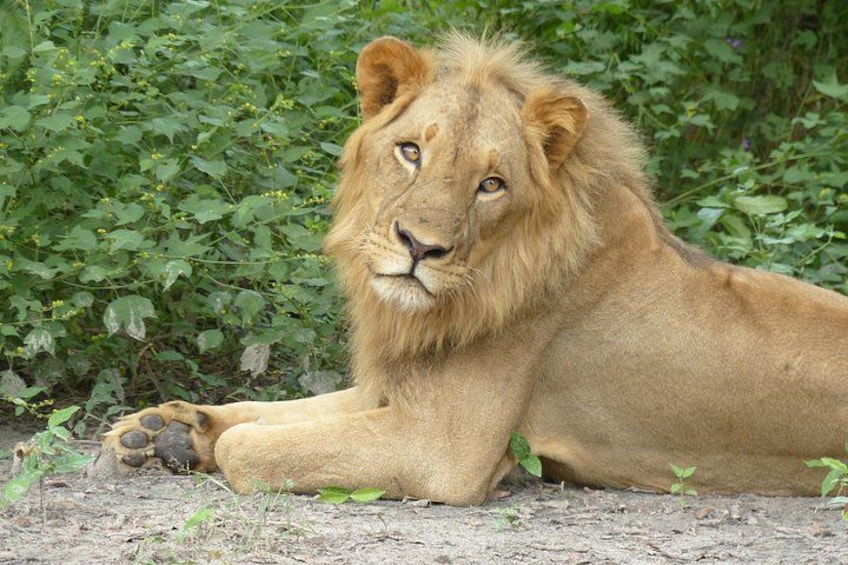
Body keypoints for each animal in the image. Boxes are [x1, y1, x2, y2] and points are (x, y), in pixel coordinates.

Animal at [101, 34, 848, 505]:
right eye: (410, 151)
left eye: (491, 184)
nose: (418, 246)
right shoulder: (395, 387)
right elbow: (274, 412)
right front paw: (161, 430)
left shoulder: (442, 447)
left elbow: (255, 446)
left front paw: (200, 441)